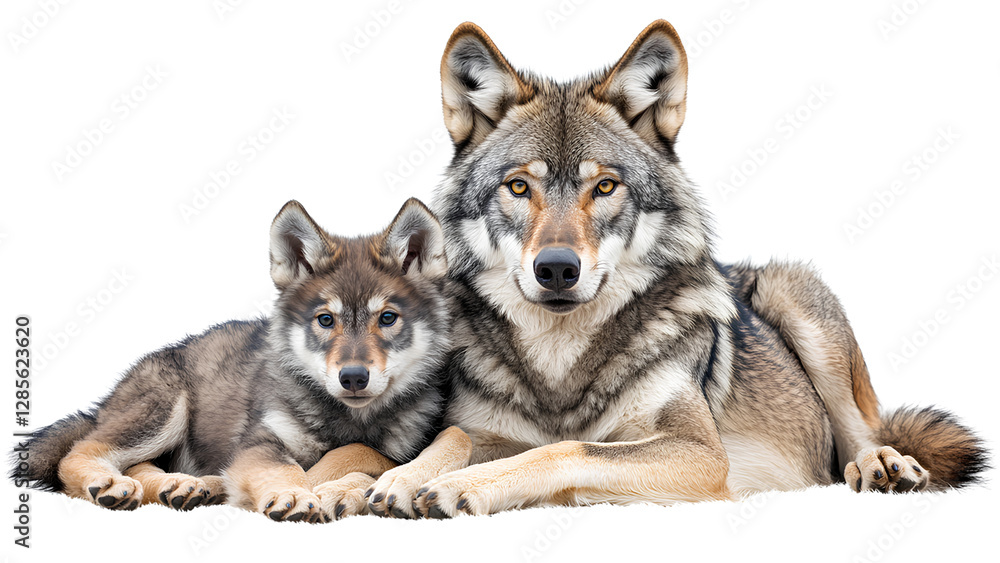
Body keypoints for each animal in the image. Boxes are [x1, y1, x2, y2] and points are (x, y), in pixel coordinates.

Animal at [11, 198, 453, 522]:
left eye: (388, 318)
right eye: (326, 320)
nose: (354, 377)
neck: (347, 418)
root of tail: (104, 404)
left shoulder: (404, 449)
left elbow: (361, 452)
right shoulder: (261, 443)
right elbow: (288, 468)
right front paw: (295, 492)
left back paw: (188, 485)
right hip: (164, 411)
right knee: (82, 451)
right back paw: (115, 483)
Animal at [363, 20, 987, 518]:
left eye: (605, 186)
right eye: (519, 187)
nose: (557, 269)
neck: (561, 366)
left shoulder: (699, 454)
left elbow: (564, 448)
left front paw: (461, 487)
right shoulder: (482, 429)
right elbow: (454, 436)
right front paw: (399, 478)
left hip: (795, 295)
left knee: (862, 433)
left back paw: (882, 466)